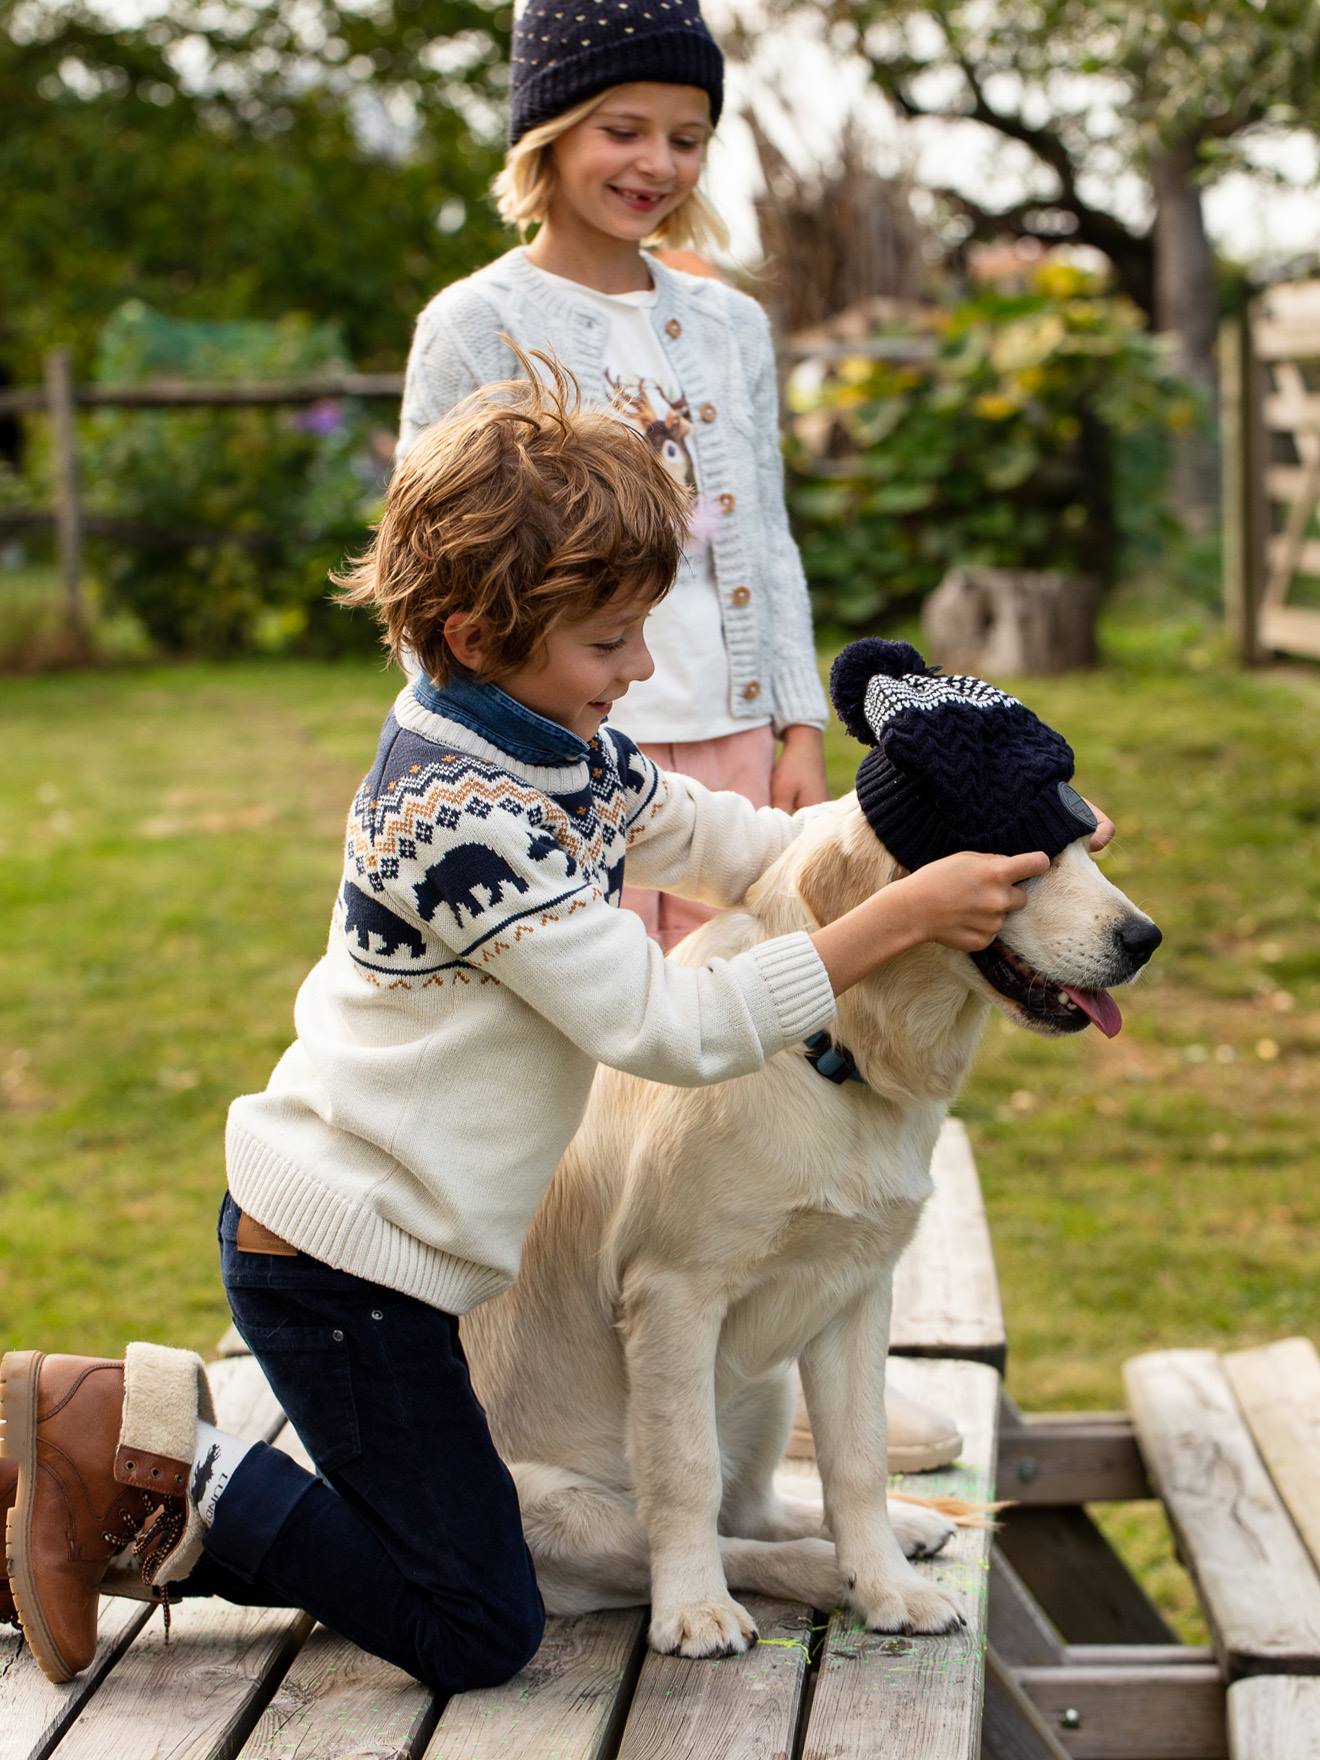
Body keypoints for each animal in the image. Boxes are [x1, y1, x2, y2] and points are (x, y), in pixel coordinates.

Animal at [461, 792, 1161, 1654]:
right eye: (1026, 859)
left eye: (1089, 846)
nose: (1145, 939)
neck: (836, 1052)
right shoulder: (674, 1294)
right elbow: (685, 1477)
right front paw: (696, 1606)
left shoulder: (857, 1286)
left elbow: (856, 1458)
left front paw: (890, 1585)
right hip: (550, 1509)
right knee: (693, 1534)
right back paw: (812, 1573)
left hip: (766, 1385)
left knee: (757, 1506)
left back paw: (899, 1531)